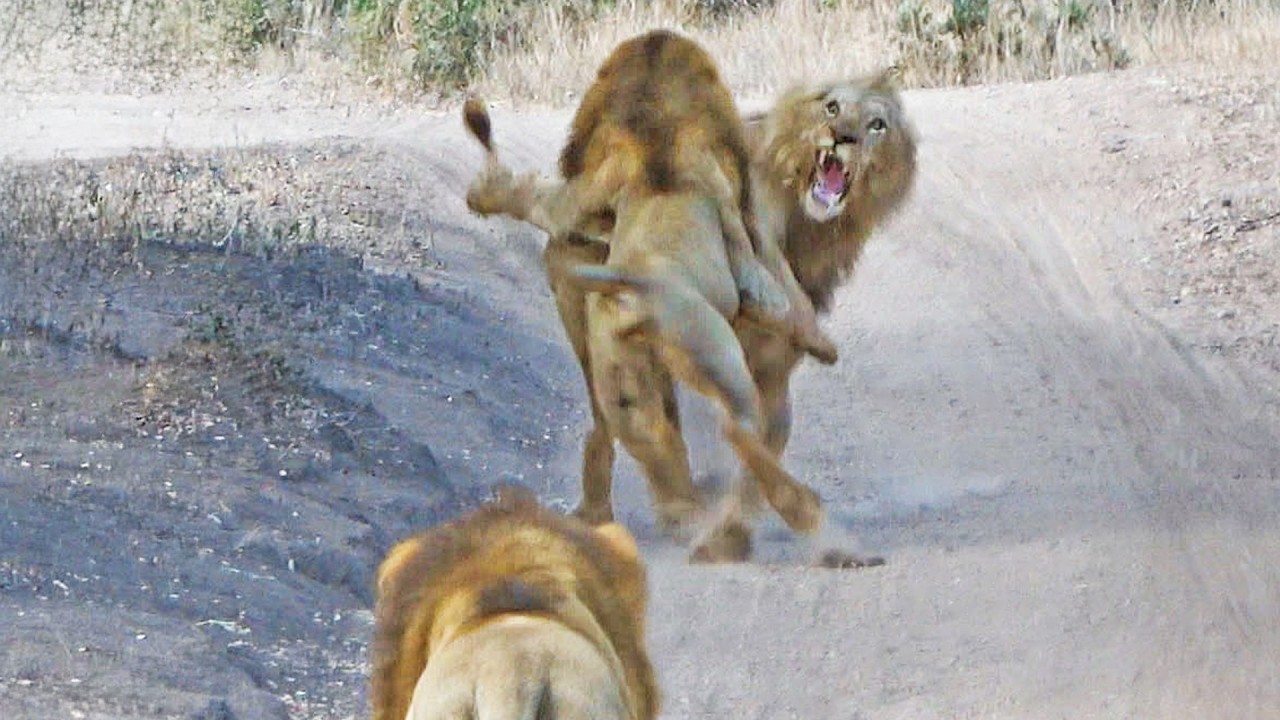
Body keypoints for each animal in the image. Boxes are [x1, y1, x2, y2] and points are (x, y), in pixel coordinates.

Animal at [465, 67, 917, 564]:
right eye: (832, 108)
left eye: (877, 125)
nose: (842, 137)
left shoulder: (773, 372)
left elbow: (761, 457)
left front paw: (729, 531)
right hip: (612, 338)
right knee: (659, 429)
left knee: (662, 431)